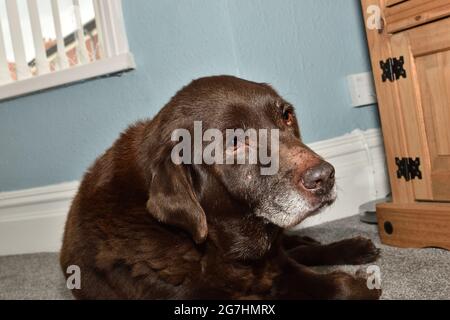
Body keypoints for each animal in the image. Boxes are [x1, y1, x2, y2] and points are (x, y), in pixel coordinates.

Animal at [60, 75, 380, 300]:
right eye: (236, 143)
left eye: (286, 115)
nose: (325, 176)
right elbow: (339, 286)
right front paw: (363, 283)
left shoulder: (278, 266)